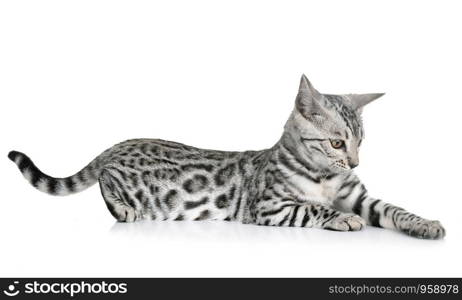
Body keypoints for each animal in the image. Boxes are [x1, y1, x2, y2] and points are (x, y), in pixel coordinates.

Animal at [7, 75, 446, 239]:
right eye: (337, 144)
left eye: (360, 142)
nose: (354, 163)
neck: (324, 175)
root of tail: (121, 143)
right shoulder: (271, 208)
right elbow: (315, 208)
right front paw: (341, 218)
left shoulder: (359, 195)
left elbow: (394, 208)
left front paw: (425, 224)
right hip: (128, 187)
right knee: (103, 179)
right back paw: (122, 207)